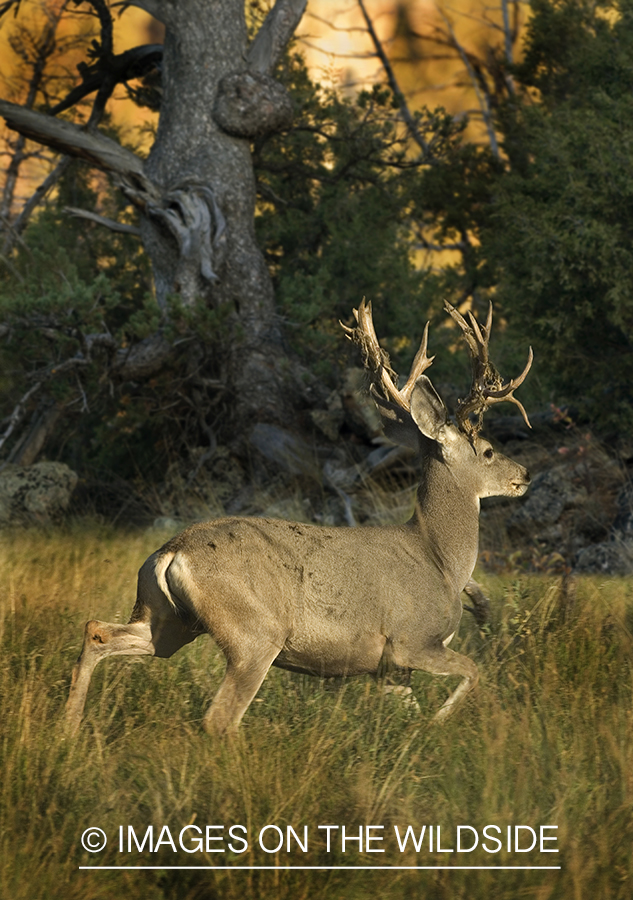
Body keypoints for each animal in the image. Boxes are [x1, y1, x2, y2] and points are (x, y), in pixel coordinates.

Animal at [64, 298, 532, 736]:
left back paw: (69, 727)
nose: (525, 474)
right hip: (253, 634)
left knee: (98, 630)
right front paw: (441, 721)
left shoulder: (389, 669)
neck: (441, 560)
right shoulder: (411, 640)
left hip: (168, 621)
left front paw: (420, 734)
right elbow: (474, 670)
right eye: (488, 451)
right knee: (219, 719)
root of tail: (171, 553)